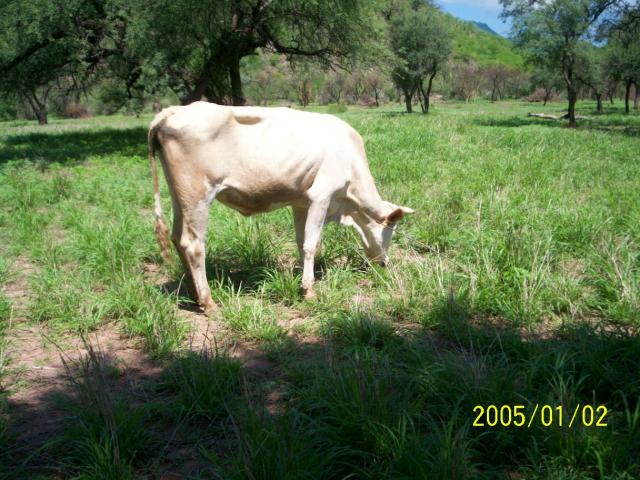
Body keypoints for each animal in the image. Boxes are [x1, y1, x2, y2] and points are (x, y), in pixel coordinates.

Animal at [148, 101, 412, 312]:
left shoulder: (301, 202)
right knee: (193, 245)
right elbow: (311, 244)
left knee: (177, 238)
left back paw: (193, 294)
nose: (384, 264)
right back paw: (207, 301)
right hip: (198, 195)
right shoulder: (322, 195)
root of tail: (172, 111)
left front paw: (302, 280)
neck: (347, 202)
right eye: (390, 232)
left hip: (179, 195)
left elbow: (301, 242)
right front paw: (309, 290)